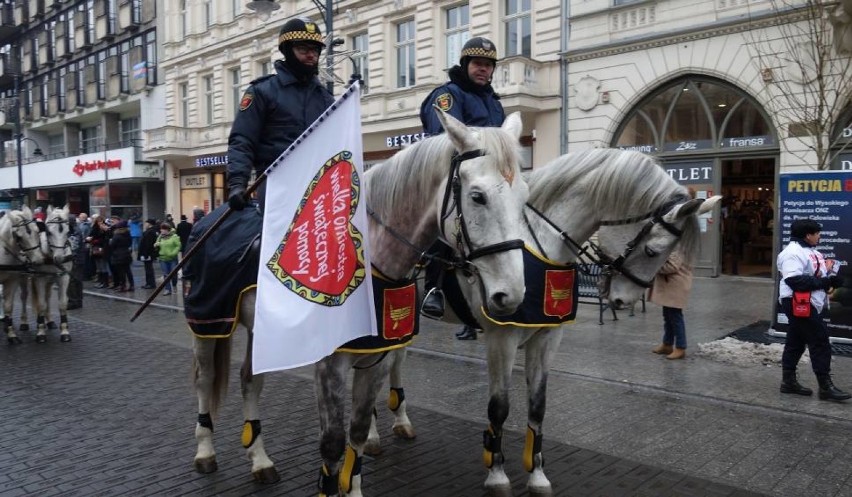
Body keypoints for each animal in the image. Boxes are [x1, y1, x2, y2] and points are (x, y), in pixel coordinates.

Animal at [191, 109, 532, 496]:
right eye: (477, 196)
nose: (512, 293)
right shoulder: (329, 365)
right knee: (205, 380)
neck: (372, 263)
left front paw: (352, 482)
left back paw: (261, 461)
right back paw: (205, 452)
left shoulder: (376, 359)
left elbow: (355, 432)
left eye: (524, 198)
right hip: (208, 324)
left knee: (250, 380)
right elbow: (332, 442)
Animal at [372, 148, 720, 496]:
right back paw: (373, 433)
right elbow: (499, 408)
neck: (538, 243)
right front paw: (497, 473)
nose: (625, 301)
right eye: (652, 250)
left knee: (395, 361)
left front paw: (537, 475)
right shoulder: (501, 340)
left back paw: (401, 420)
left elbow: (538, 406)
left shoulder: (548, 338)